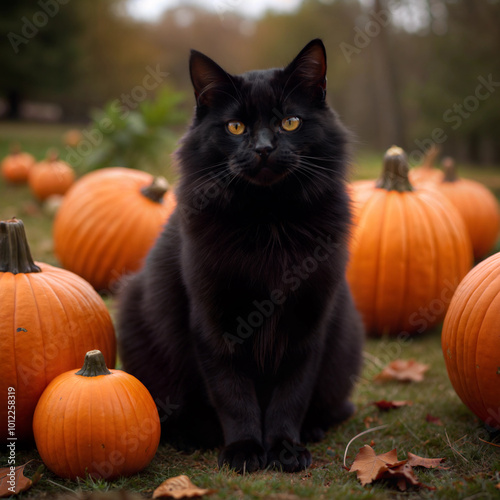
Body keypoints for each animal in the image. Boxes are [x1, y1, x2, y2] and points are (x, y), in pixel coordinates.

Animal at [119, 39, 366, 472]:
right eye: (235, 127)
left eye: (290, 123)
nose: (264, 148)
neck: (268, 220)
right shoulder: (214, 322)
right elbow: (232, 393)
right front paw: (245, 449)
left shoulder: (308, 323)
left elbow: (291, 394)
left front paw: (284, 448)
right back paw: (194, 435)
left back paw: (312, 429)